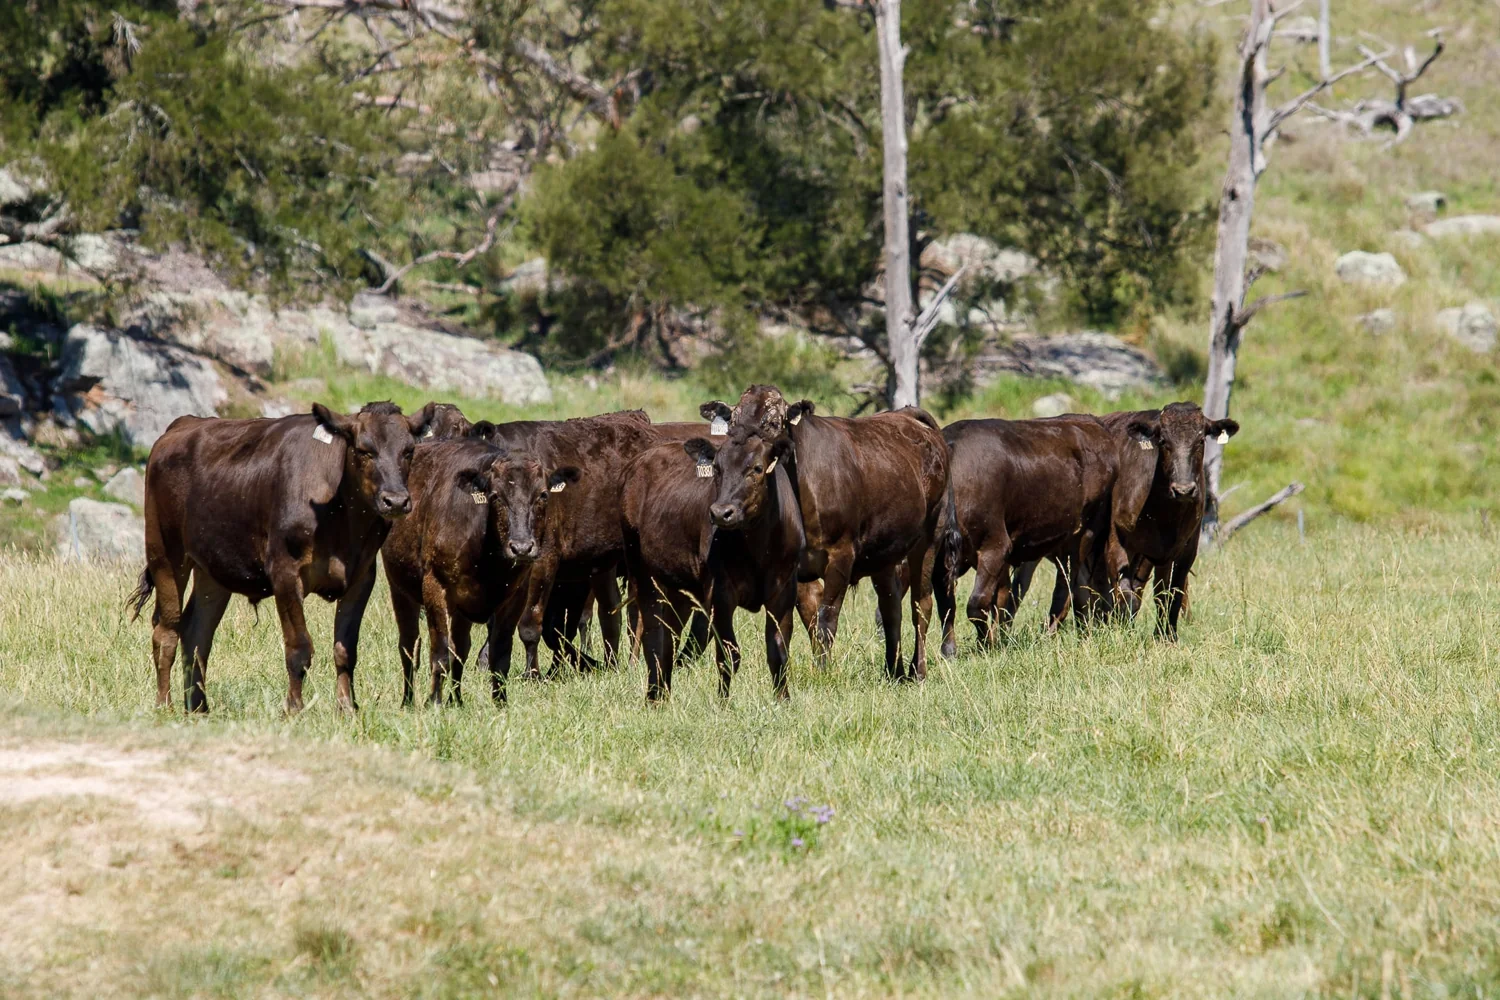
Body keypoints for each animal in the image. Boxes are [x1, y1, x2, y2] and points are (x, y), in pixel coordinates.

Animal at [128, 401, 435, 713]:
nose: (395, 500)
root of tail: (184, 423)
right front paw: (294, 708)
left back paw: (199, 707)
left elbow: (345, 648)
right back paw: (164, 705)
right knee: (166, 631)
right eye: (364, 450)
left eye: (408, 450)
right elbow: (299, 648)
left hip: (213, 568)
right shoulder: (285, 573)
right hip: (165, 554)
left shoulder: (361, 577)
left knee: (196, 633)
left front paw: (347, 708)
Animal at [382, 438, 579, 706]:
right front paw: (434, 702)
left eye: (543, 495)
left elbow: (499, 655)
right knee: (410, 647)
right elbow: (440, 652)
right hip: (400, 590)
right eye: (495, 496)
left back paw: (456, 700)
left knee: (460, 648)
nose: (521, 547)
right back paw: (409, 700)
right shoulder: (435, 586)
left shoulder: (515, 596)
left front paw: (500, 702)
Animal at [621, 423, 802, 701]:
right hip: (642, 573)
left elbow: (778, 652)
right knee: (652, 635)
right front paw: (723, 702)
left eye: (757, 468)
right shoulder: (720, 593)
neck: (759, 550)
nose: (720, 513)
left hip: (677, 587)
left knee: (669, 639)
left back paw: (663, 693)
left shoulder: (783, 591)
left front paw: (783, 700)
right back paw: (654, 696)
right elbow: (728, 654)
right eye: (717, 468)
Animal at [704, 386, 949, 682]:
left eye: (772, 423)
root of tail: (907, 415)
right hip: (885, 554)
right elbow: (809, 616)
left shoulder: (840, 554)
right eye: (732, 422)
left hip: (930, 537)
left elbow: (826, 617)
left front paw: (822, 673)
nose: (744, 447)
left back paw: (918, 670)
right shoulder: (793, 567)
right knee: (891, 608)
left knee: (921, 605)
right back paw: (894, 670)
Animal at [933, 414, 1122, 657]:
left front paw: (986, 645)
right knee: (1077, 588)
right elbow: (948, 605)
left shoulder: (995, 547)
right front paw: (949, 651)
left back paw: (1049, 634)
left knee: (1066, 587)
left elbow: (977, 603)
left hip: (1084, 535)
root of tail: (1091, 422)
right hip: (1061, 543)